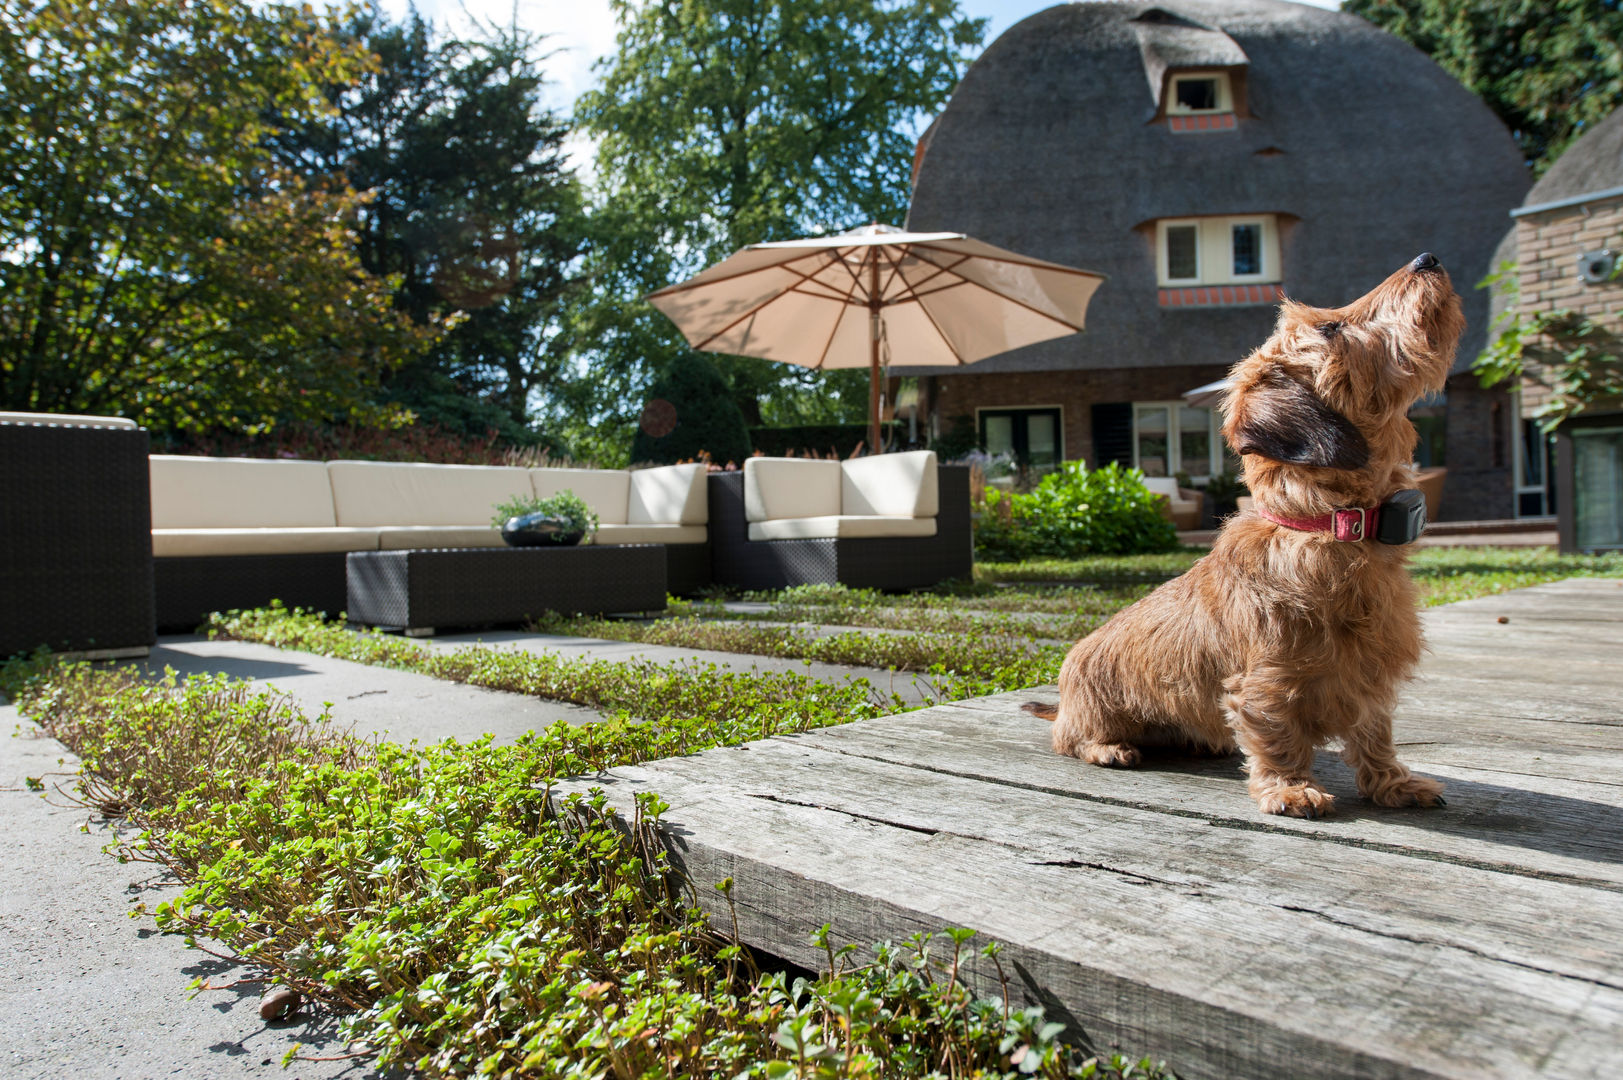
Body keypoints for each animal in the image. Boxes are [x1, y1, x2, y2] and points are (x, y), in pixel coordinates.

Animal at [1032, 254, 1467, 818]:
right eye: (1331, 327)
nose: (1426, 260)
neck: (1324, 528)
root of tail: (1063, 700)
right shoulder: (1265, 681)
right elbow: (1275, 732)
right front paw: (1290, 787)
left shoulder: (1369, 679)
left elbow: (1375, 733)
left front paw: (1393, 783)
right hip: (1091, 712)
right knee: (1069, 739)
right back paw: (1108, 747)